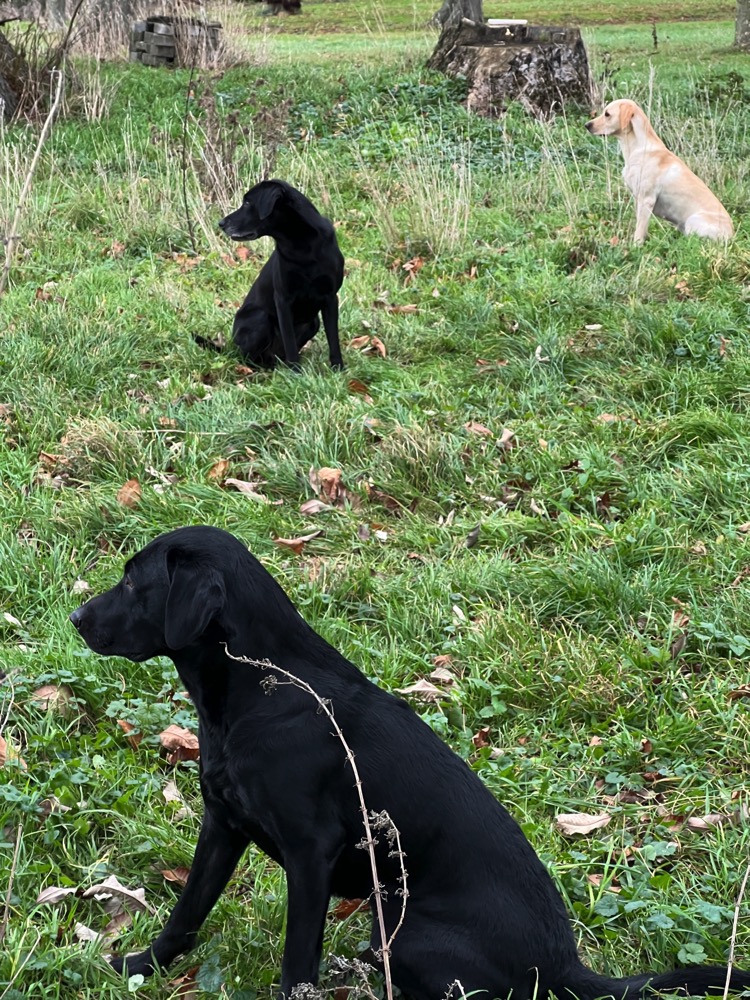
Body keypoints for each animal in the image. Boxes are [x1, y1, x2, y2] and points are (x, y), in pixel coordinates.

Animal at [70, 526, 750, 1000]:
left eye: (132, 583)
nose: (75, 617)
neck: (262, 689)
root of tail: (563, 966)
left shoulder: (310, 853)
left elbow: (296, 960)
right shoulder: (222, 825)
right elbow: (186, 913)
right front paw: (138, 966)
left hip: (399, 927)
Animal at [218, 179, 344, 371]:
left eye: (247, 203)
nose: (221, 223)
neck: (302, 244)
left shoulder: (330, 297)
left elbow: (333, 339)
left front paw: (338, 368)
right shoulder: (283, 299)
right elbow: (289, 341)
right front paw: (296, 372)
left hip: (312, 323)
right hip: (260, 317)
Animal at [586, 99, 734, 244]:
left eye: (607, 114)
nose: (587, 125)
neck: (638, 149)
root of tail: (732, 234)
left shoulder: (647, 200)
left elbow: (639, 231)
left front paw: (635, 247)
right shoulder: (638, 200)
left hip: (693, 221)